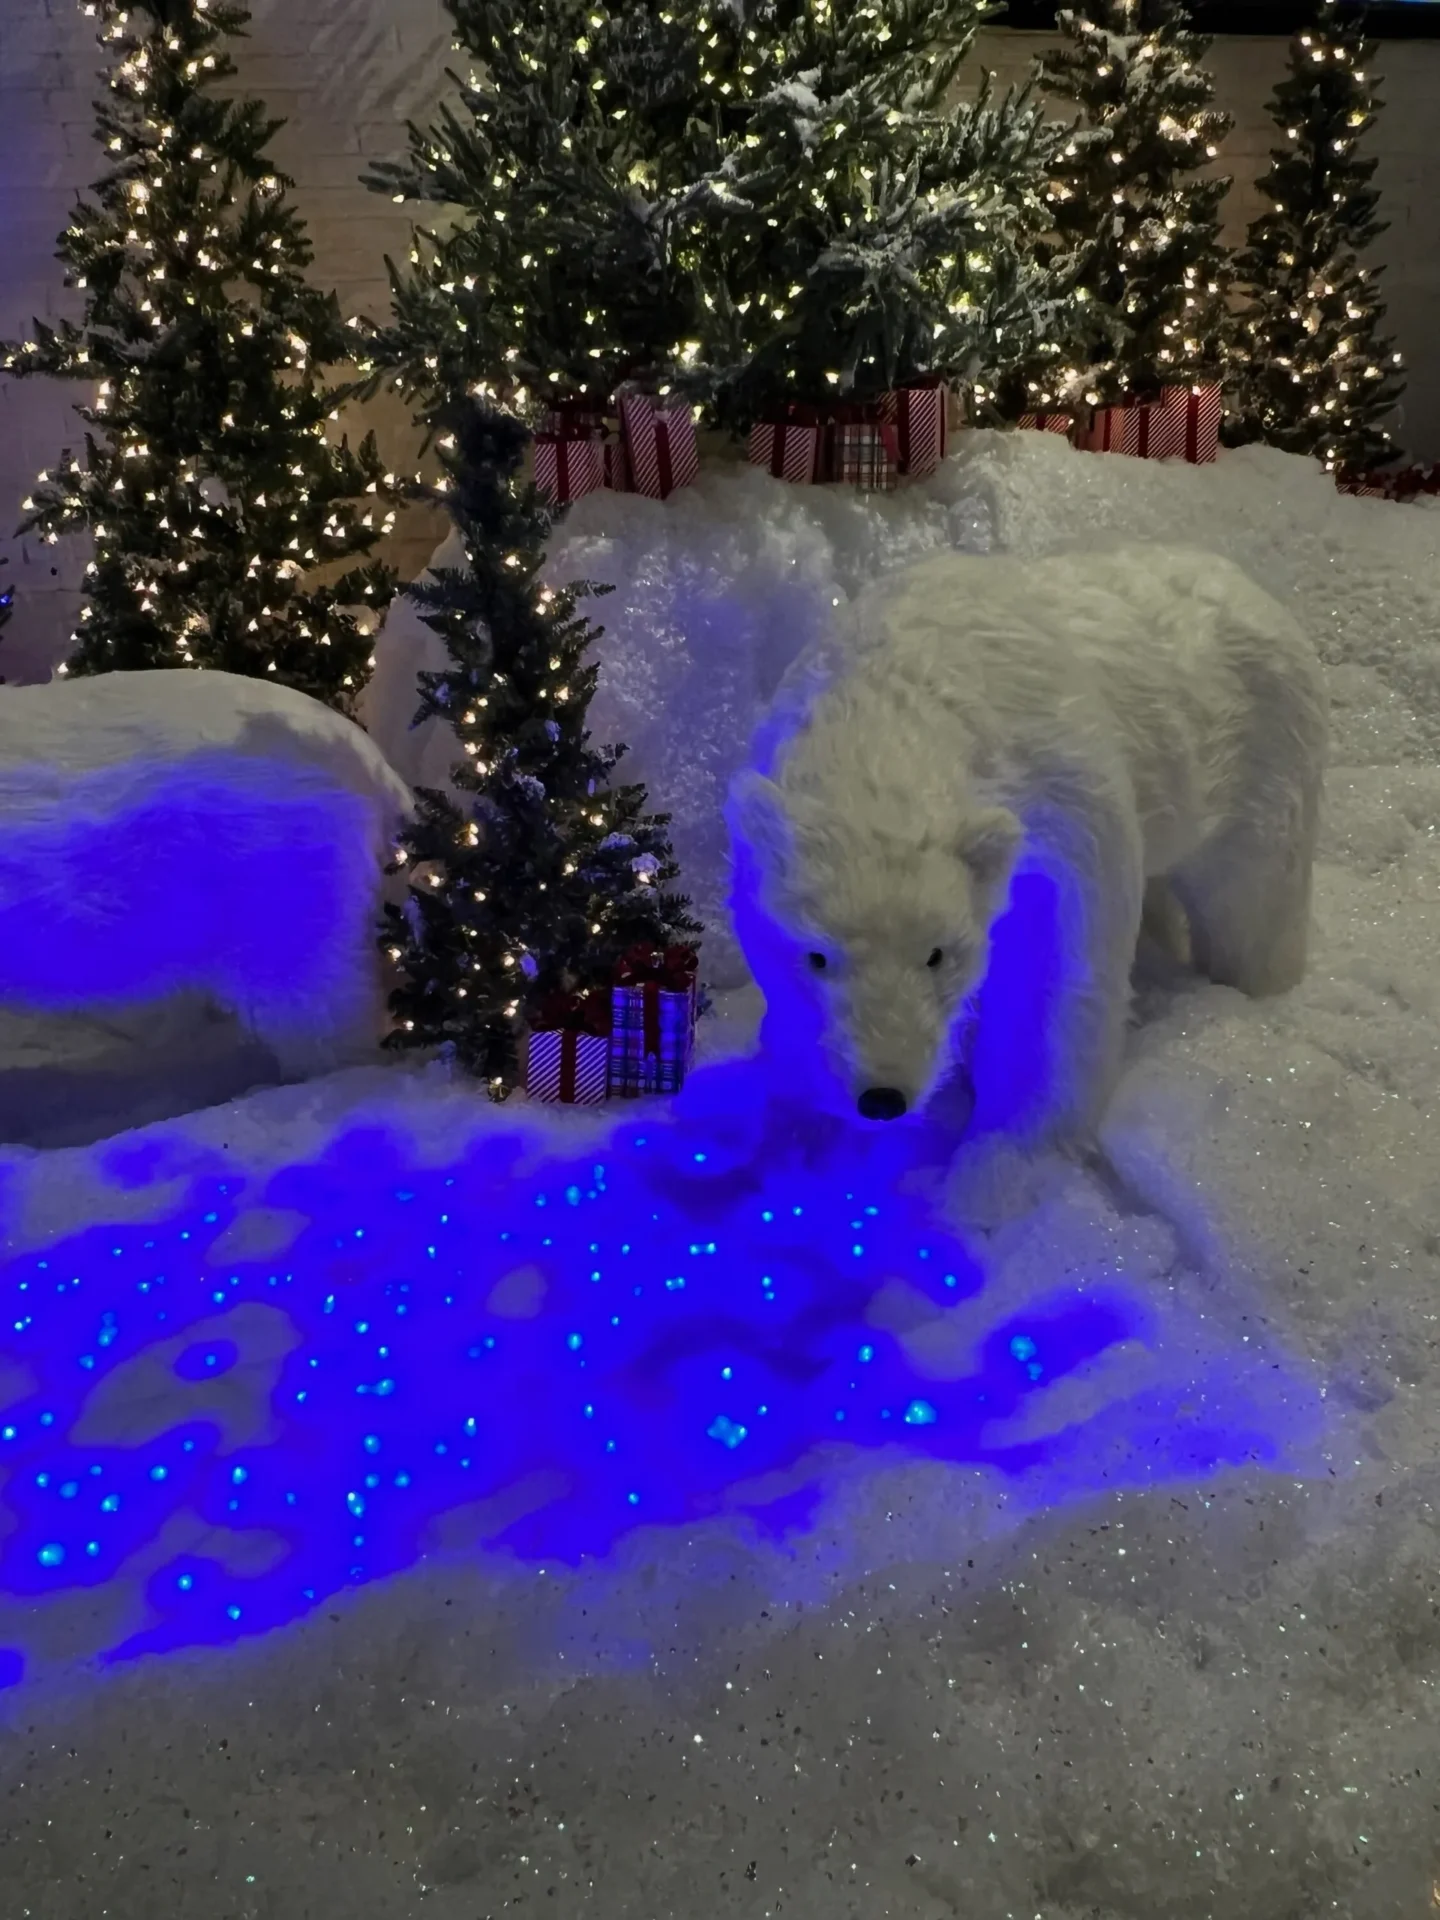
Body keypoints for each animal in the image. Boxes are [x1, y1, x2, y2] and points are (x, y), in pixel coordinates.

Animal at [733, 541, 1328, 1136]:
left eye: (937, 954)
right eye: (815, 956)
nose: (883, 1097)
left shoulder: (1057, 800)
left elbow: (1055, 966)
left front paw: (1014, 1138)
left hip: (1263, 752)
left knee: (1252, 907)